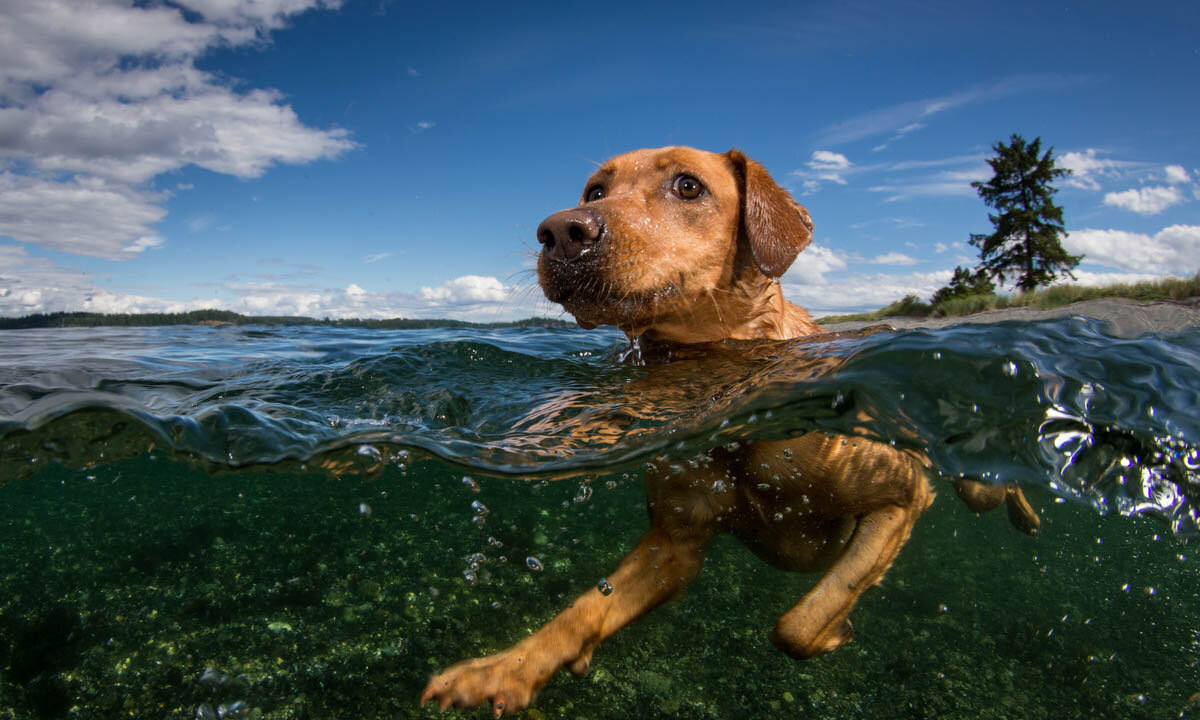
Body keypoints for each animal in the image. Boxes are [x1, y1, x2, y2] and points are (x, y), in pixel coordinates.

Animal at [420, 144, 1032, 715]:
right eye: (595, 191)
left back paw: (1026, 512)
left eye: (688, 186)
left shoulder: (901, 497)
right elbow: (586, 608)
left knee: (991, 482)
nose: (561, 232)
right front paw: (508, 667)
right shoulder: (675, 544)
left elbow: (801, 623)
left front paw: (836, 631)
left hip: (958, 478)